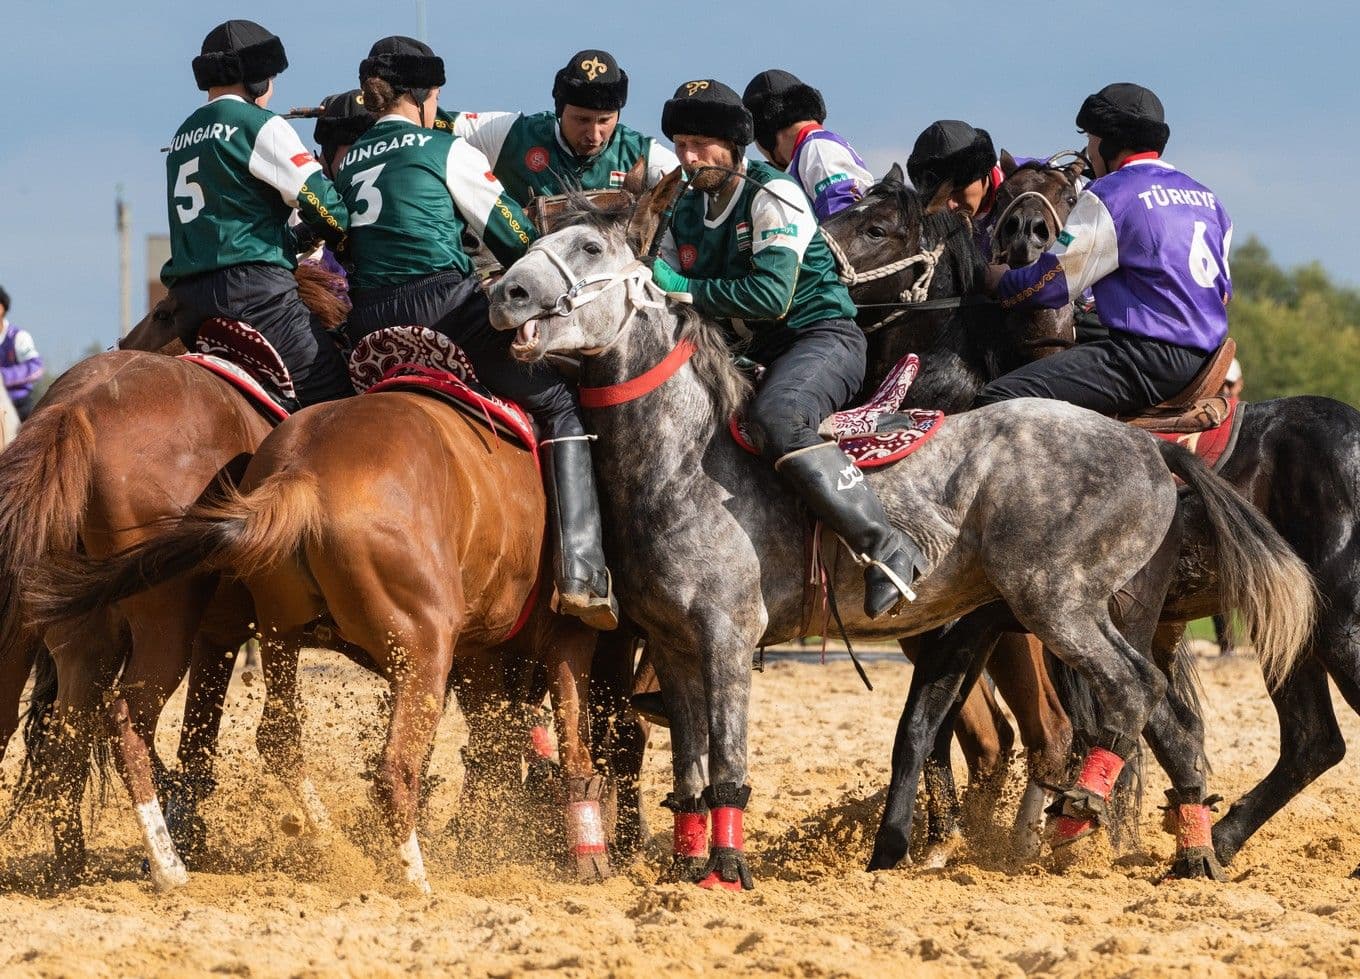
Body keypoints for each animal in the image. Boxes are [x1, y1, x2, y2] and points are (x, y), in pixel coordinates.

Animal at [484, 174, 1311, 886]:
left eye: (592, 248)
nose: (505, 292)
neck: (688, 453)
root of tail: (1149, 447)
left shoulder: (726, 638)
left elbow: (728, 764)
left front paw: (728, 869)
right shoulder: (674, 646)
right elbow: (688, 769)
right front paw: (690, 869)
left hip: (1061, 606)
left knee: (1127, 694)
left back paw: (1080, 812)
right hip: (1104, 613)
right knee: (1171, 720)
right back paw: (1192, 853)